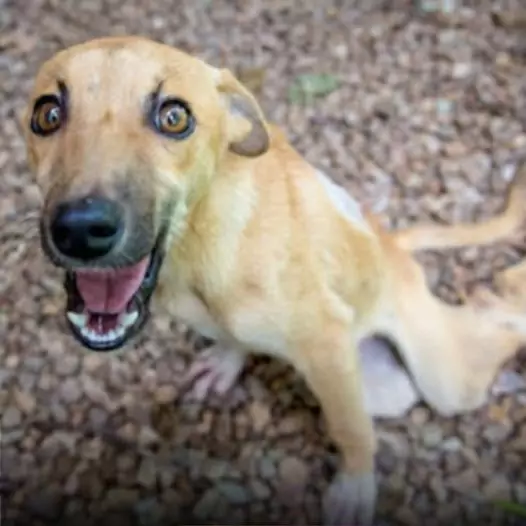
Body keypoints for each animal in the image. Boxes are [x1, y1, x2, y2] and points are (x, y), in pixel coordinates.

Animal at [22, 35, 526, 524]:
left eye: (174, 116)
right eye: (47, 114)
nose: (80, 229)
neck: (197, 247)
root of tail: (393, 245)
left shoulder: (327, 345)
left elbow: (350, 428)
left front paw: (356, 487)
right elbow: (234, 338)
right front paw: (227, 361)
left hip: (444, 382)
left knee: (494, 332)